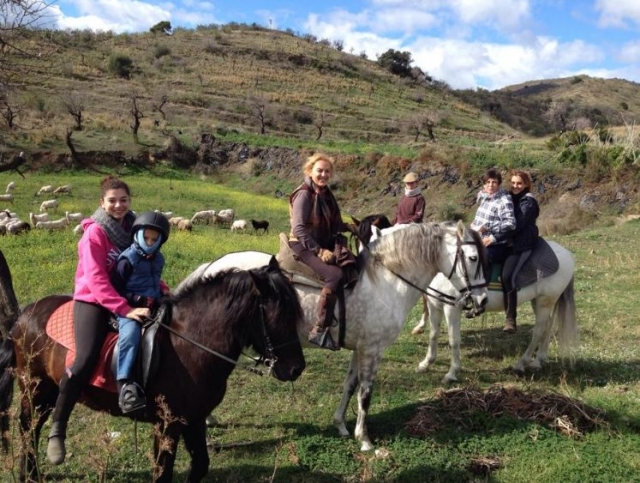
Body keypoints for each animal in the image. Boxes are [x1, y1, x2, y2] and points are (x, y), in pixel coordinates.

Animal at [0, 255, 306, 483]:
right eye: (278, 316)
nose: (296, 369)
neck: (189, 344)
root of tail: (23, 316)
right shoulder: (167, 424)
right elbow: (162, 473)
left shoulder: (194, 419)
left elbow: (200, 465)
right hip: (35, 387)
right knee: (28, 428)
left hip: (47, 390)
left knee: (32, 428)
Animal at [176, 220, 489, 451]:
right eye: (473, 258)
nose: (483, 300)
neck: (386, 280)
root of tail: (213, 267)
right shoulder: (372, 350)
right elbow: (365, 393)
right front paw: (365, 440)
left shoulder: (359, 349)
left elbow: (350, 386)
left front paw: (341, 425)